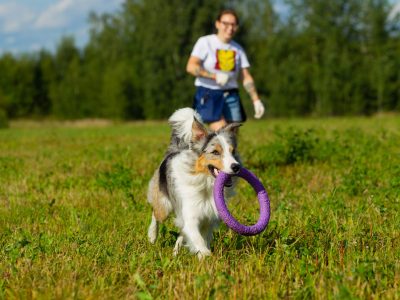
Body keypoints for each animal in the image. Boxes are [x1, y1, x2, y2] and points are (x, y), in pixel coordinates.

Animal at [147, 108, 241, 258]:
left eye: (233, 151)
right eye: (215, 152)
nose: (236, 167)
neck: (207, 184)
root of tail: (174, 150)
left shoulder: (209, 219)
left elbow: (202, 238)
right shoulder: (191, 216)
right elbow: (197, 239)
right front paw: (206, 255)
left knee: (181, 233)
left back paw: (175, 252)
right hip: (164, 205)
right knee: (156, 214)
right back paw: (152, 236)